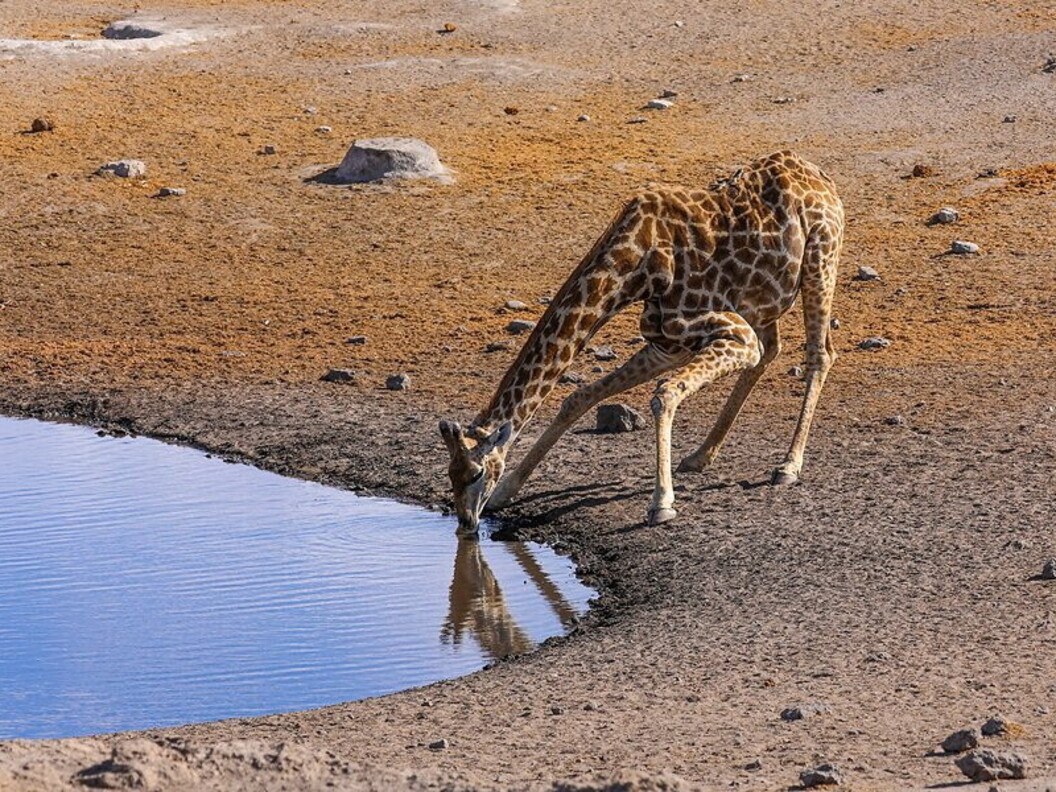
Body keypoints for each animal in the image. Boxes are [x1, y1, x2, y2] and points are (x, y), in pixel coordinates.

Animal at [439, 150, 844, 532]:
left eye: (476, 473)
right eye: (449, 475)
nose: (466, 523)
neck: (635, 265)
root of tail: (819, 174)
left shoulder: (734, 334)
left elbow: (664, 395)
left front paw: (661, 504)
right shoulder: (668, 344)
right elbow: (579, 397)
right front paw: (507, 492)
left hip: (820, 260)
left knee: (819, 354)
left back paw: (788, 465)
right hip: (765, 299)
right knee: (771, 351)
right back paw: (700, 455)